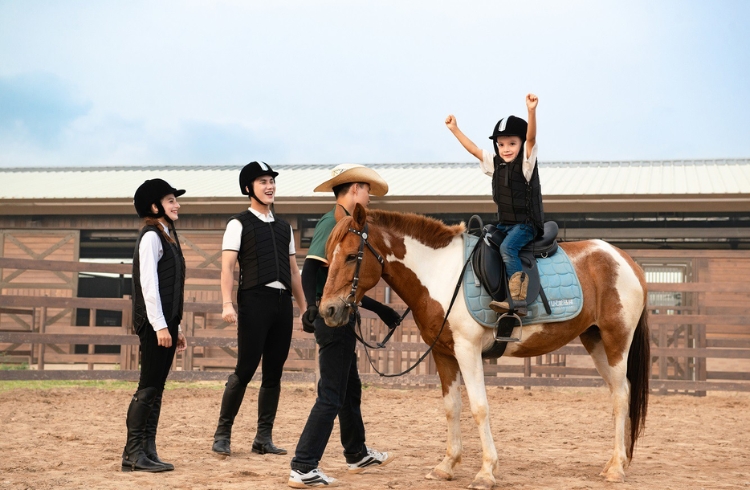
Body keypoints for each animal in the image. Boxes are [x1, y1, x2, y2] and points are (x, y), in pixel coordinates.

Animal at [319, 204, 650, 489]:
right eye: (329, 255)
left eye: (351, 256)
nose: (328, 310)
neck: (440, 274)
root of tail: (626, 260)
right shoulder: (443, 353)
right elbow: (452, 407)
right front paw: (446, 466)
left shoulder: (468, 351)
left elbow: (479, 408)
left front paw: (486, 472)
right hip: (595, 341)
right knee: (618, 392)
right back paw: (615, 462)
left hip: (616, 340)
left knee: (621, 396)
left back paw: (616, 469)